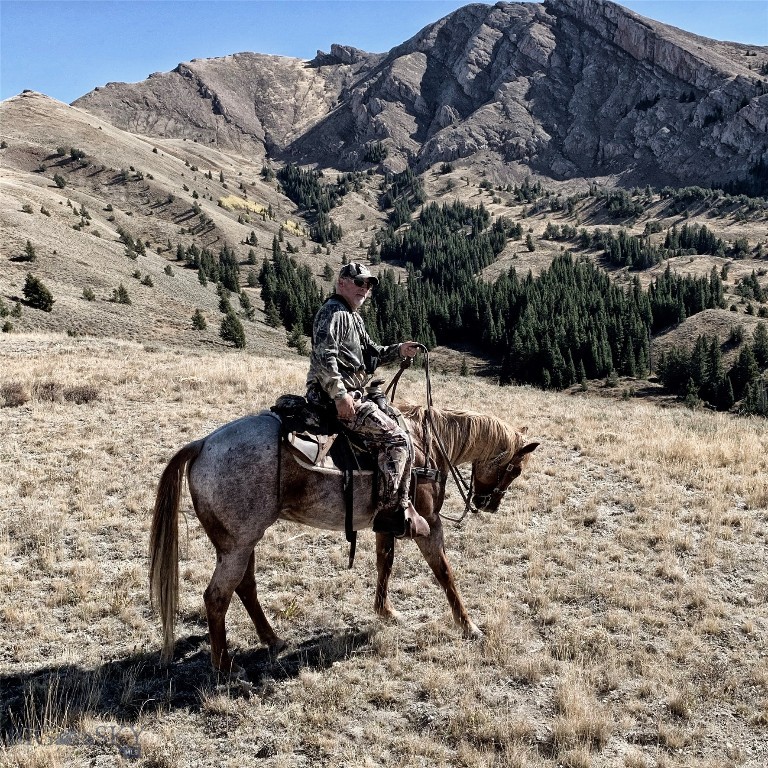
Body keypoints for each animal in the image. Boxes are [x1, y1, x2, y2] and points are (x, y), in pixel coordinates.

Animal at [147, 404, 536, 676]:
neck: (427, 448)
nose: (488, 504)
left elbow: (384, 564)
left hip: (241, 543)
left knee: (245, 587)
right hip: (237, 546)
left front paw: (385, 611)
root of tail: (201, 445)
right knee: (216, 597)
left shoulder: (387, 524)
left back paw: (272, 639)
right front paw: (469, 627)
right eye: (515, 469)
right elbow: (445, 575)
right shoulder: (430, 524)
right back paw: (226, 667)